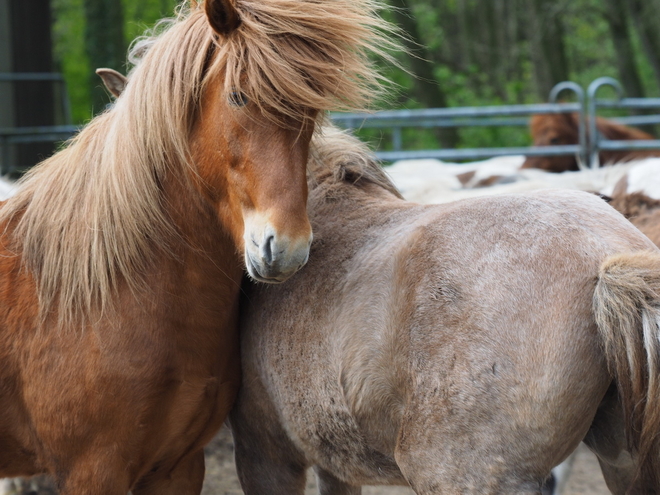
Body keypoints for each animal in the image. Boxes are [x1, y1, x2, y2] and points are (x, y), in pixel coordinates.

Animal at [0, 0, 394, 492]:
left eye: (312, 112)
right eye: (238, 97)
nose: (287, 249)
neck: (103, 296)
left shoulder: (178, 466)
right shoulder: (93, 471)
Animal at [231, 126, 660, 494]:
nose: (269, 255)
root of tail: (605, 256)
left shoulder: (264, 452)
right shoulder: (332, 461)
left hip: (460, 474)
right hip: (622, 463)